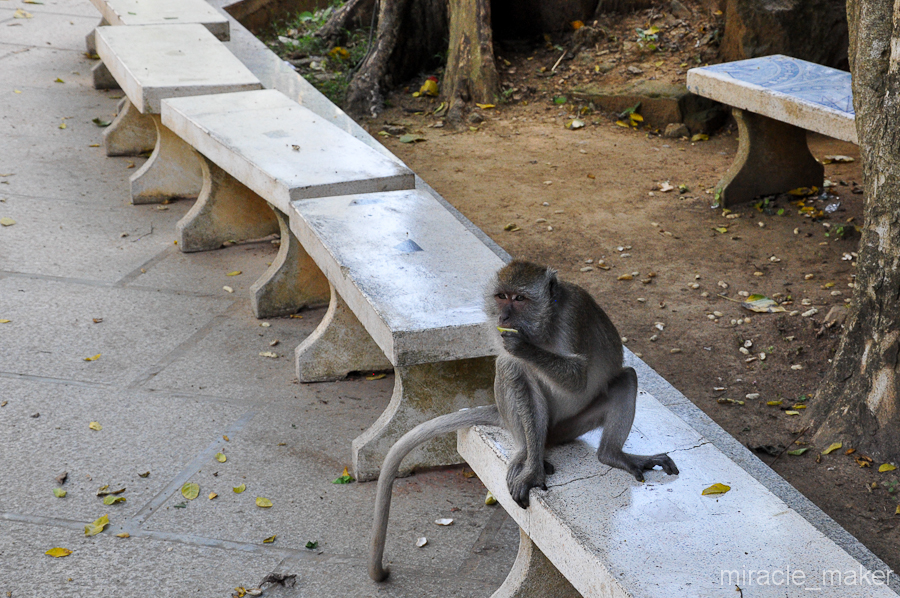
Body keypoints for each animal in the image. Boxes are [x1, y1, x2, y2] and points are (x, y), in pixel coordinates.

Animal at [366, 260, 676, 584]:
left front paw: (524, 347)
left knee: (625, 379)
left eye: (520, 299)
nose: (503, 316)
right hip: (544, 427)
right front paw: (532, 469)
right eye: (502, 296)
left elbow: (578, 377)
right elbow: (516, 370)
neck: (545, 326)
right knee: (510, 370)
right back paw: (529, 454)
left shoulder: (573, 316)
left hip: (570, 426)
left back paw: (610, 454)